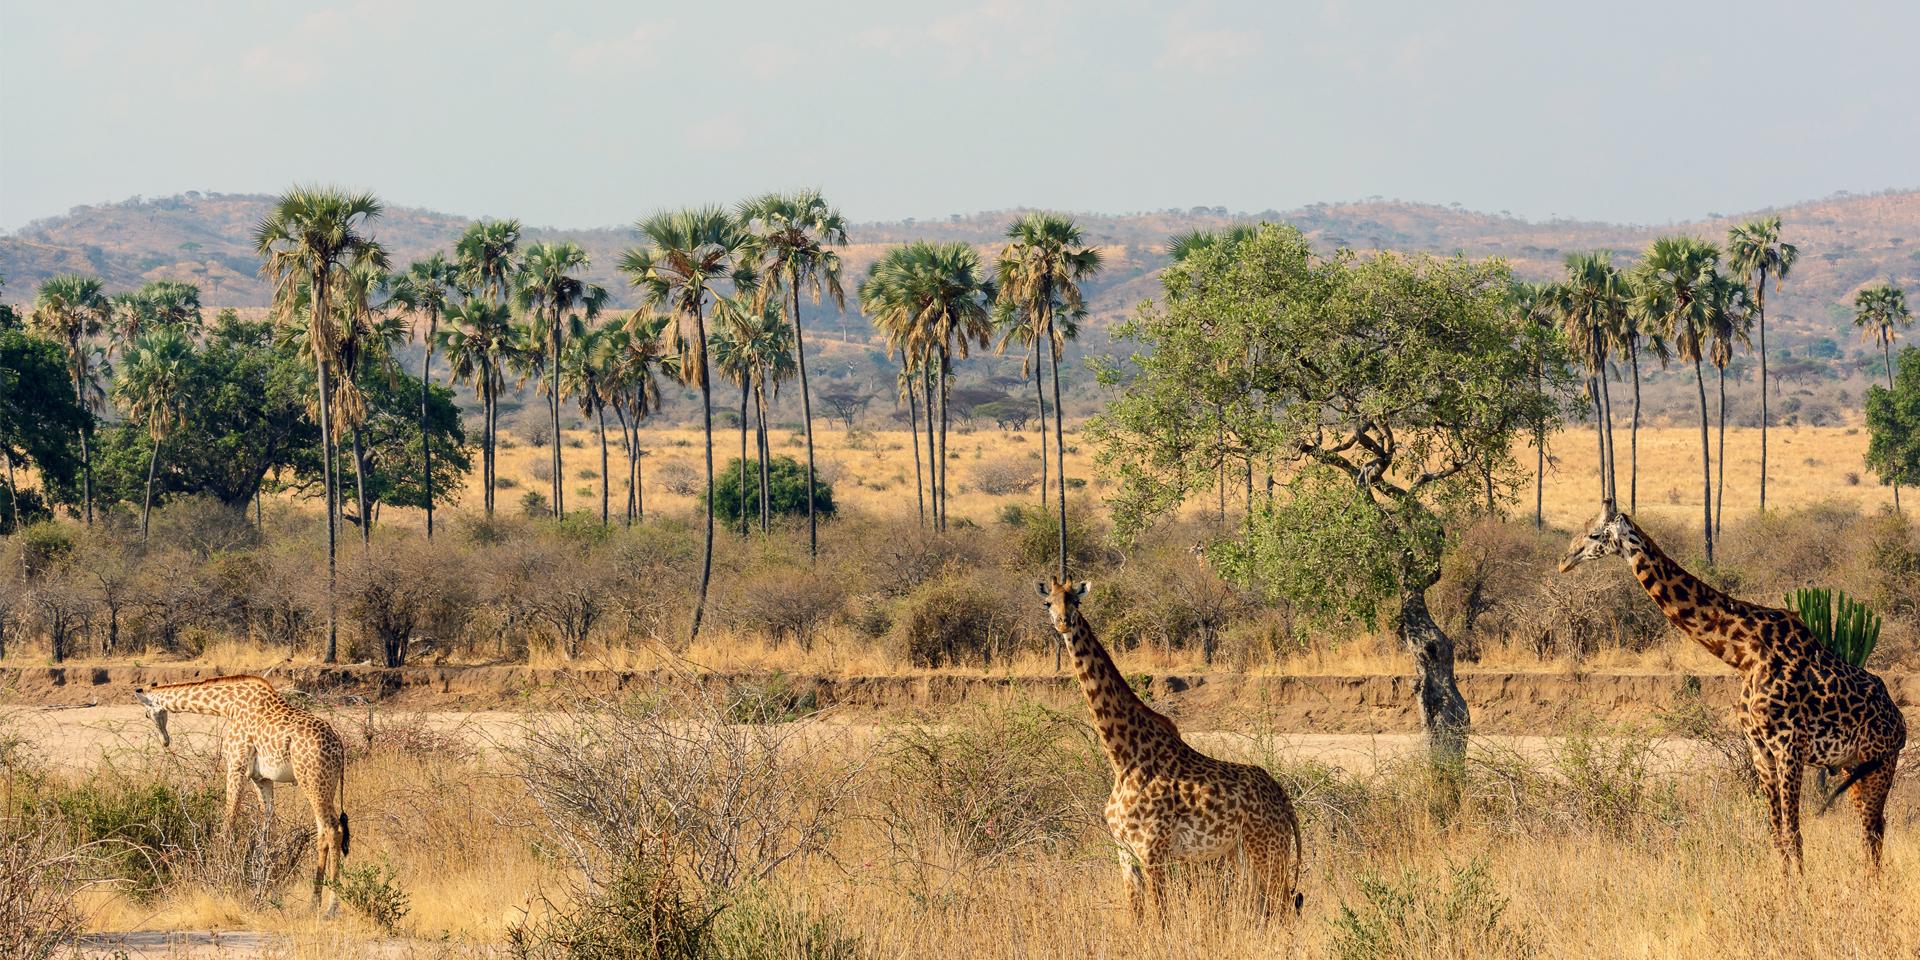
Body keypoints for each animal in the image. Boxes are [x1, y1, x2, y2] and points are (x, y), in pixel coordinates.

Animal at [133, 675, 351, 913]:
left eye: (146, 714)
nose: (165, 741)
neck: (228, 706)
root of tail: (339, 747)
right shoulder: (261, 778)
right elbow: (268, 829)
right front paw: (263, 887)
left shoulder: (236, 766)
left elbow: (229, 822)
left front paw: (221, 880)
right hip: (325, 783)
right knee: (323, 831)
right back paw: (313, 904)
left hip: (311, 779)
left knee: (332, 829)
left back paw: (332, 907)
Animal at [1036, 576, 1305, 913]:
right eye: (1048, 602)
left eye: (1076, 600)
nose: (1063, 622)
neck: (1123, 758)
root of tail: (1284, 799)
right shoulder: (1125, 852)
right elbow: (1137, 916)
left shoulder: (1152, 851)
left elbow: (1160, 917)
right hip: (1241, 853)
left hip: (1268, 848)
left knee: (1284, 909)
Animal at [1559, 506, 1904, 875]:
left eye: (1595, 534)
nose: (1564, 561)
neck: (1744, 654)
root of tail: (1900, 721)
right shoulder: (1761, 750)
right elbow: (1777, 834)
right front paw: (1785, 886)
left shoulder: (1789, 747)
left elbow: (1794, 834)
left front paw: (1802, 888)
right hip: (1852, 765)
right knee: (1872, 827)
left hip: (1880, 761)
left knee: (1873, 827)